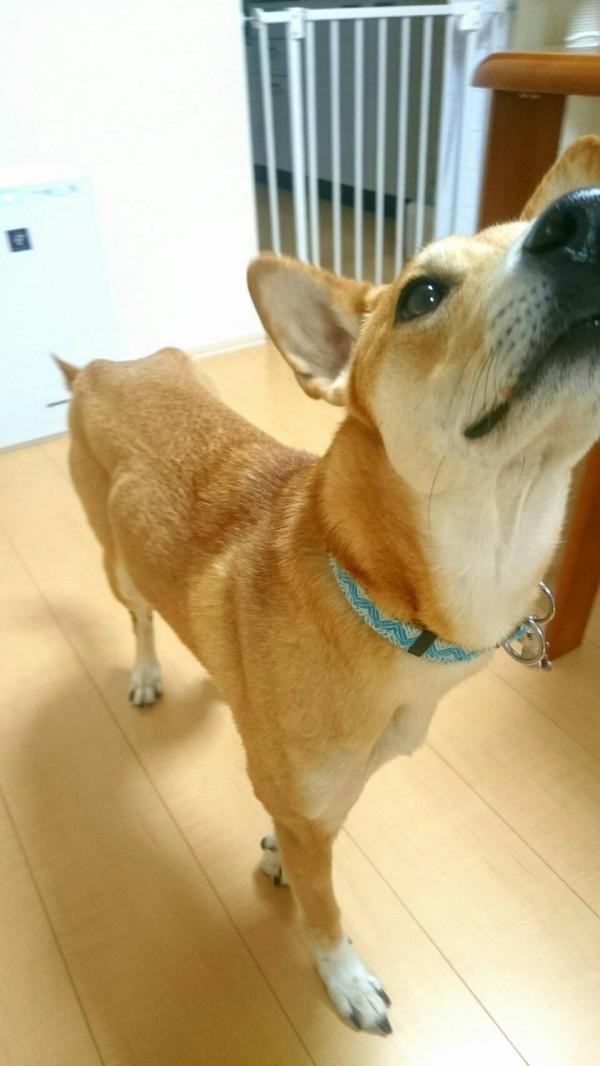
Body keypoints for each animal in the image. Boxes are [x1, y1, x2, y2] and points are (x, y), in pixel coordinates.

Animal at [56, 136, 600, 1034]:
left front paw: (274, 852)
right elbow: (326, 908)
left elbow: (298, 837)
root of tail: (104, 364)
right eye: (421, 293)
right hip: (114, 563)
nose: (583, 219)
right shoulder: (319, 808)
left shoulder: (331, 791)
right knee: (138, 620)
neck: (386, 598)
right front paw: (343, 978)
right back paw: (145, 674)